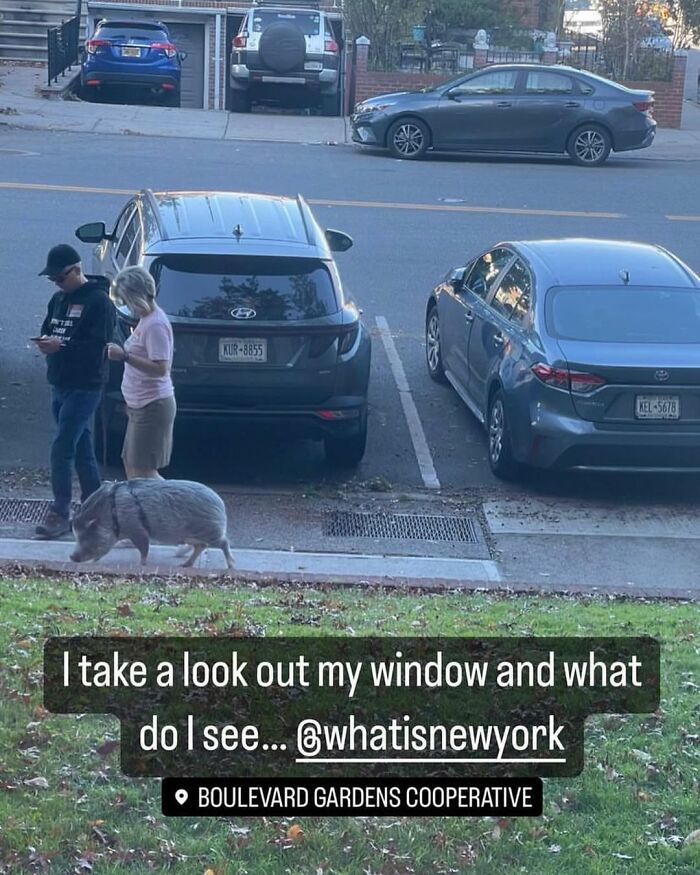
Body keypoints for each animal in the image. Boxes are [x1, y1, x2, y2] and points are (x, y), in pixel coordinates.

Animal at [70, 480, 235, 568]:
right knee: (201, 546)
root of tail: (220, 503)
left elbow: (144, 547)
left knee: (224, 542)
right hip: (193, 536)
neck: (112, 513)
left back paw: (231, 566)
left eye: (84, 537)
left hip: (211, 531)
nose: (71, 557)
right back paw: (184, 565)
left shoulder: (137, 529)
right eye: (76, 537)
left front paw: (140, 564)